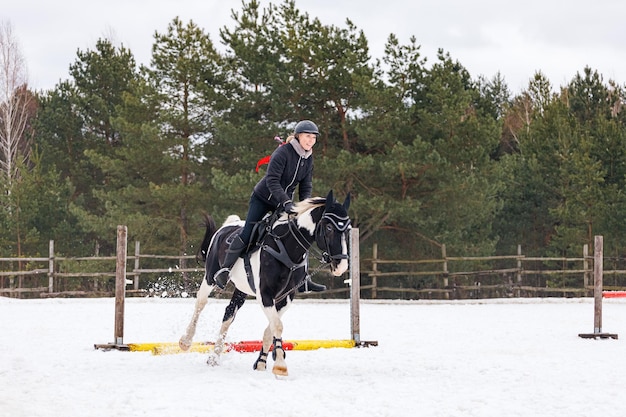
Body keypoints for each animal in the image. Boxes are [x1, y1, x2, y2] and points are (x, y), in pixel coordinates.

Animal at [179, 190, 352, 376]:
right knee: (201, 302)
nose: (341, 266)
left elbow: (271, 329)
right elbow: (277, 325)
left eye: (348, 229)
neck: (287, 249)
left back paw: (214, 357)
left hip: (242, 289)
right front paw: (280, 364)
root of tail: (228, 226)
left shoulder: (286, 297)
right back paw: (186, 341)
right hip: (211, 276)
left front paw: (262, 363)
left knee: (229, 314)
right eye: (328, 227)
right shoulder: (265, 294)